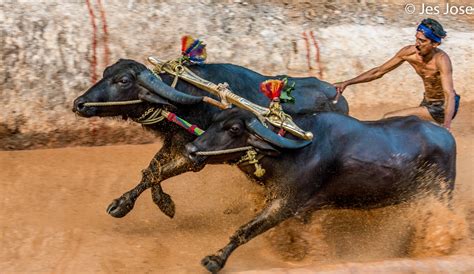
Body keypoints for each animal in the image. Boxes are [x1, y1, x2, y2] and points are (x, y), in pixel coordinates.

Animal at [73, 59, 348, 218]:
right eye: (106, 72)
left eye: (123, 80)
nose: (79, 103)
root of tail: (337, 94)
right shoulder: (176, 142)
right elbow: (151, 170)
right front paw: (162, 202)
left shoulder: (196, 155)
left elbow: (157, 172)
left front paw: (123, 204)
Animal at [185, 108, 456, 272]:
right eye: (214, 122)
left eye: (234, 129)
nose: (191, 150)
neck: (290, 153)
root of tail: (446, 137)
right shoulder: (302, 210)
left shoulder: (286, 203)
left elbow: (246, 230)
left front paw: (215, 260)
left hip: (440, 195)